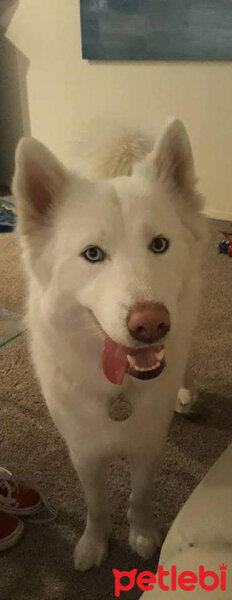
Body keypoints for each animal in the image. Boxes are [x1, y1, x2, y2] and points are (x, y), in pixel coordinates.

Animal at [13, 118, 205, 572]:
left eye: (159, 244)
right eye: (93, 254)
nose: (150, 323)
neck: (118, 390)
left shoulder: (147, 443)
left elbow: (139, 496)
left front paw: (143, 535)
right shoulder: (84, 451)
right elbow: (97, 505)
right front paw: (93, 545)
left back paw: (186, 392)